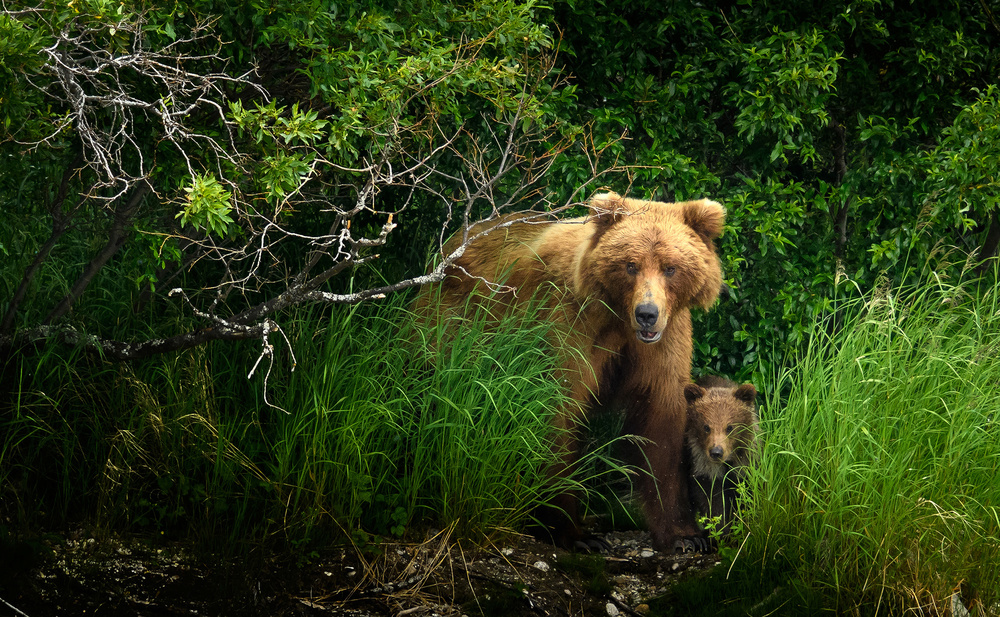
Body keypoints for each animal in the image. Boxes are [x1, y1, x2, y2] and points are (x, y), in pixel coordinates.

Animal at [426, 191, 724, 548]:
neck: (618, 316)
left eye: (670, 267)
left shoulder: (663, 344)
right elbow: (556, 411)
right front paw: (574, 532)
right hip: (455, 321)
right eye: (631, 265)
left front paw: (686, 534)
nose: (647, 313)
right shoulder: (568, 323)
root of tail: (453, 243)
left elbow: (661, 426)